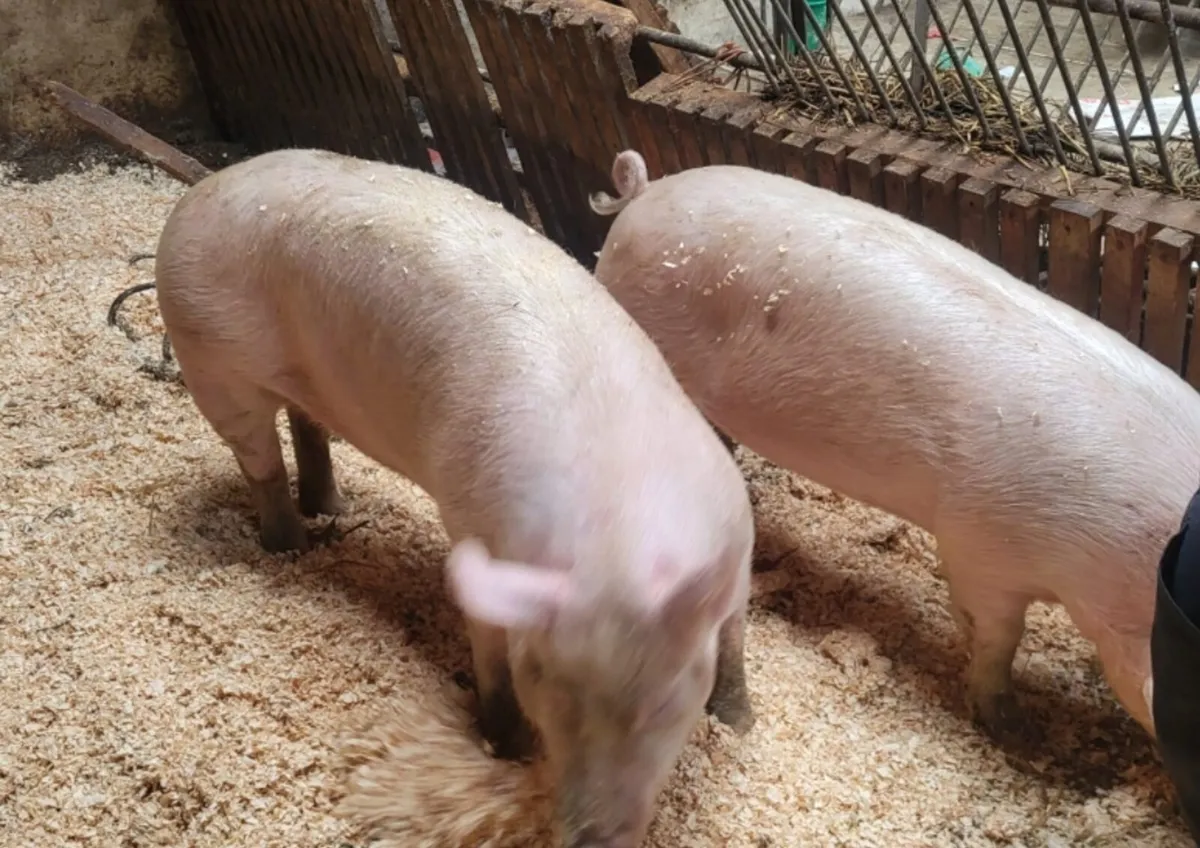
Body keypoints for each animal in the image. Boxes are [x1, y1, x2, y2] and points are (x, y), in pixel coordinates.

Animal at [153, 148, 755, 847]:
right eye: (543, 684)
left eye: (663, 703)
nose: (591, 837)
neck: (616, 532)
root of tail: (199, 195)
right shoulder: (476, 534)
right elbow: (487, 653)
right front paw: (507, 746)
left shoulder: (736, 546)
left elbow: (734, 645)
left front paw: (740, 722)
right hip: (211, 362)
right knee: (260, 461)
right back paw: (290, 549)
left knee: (307, 425)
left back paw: (334, 509)